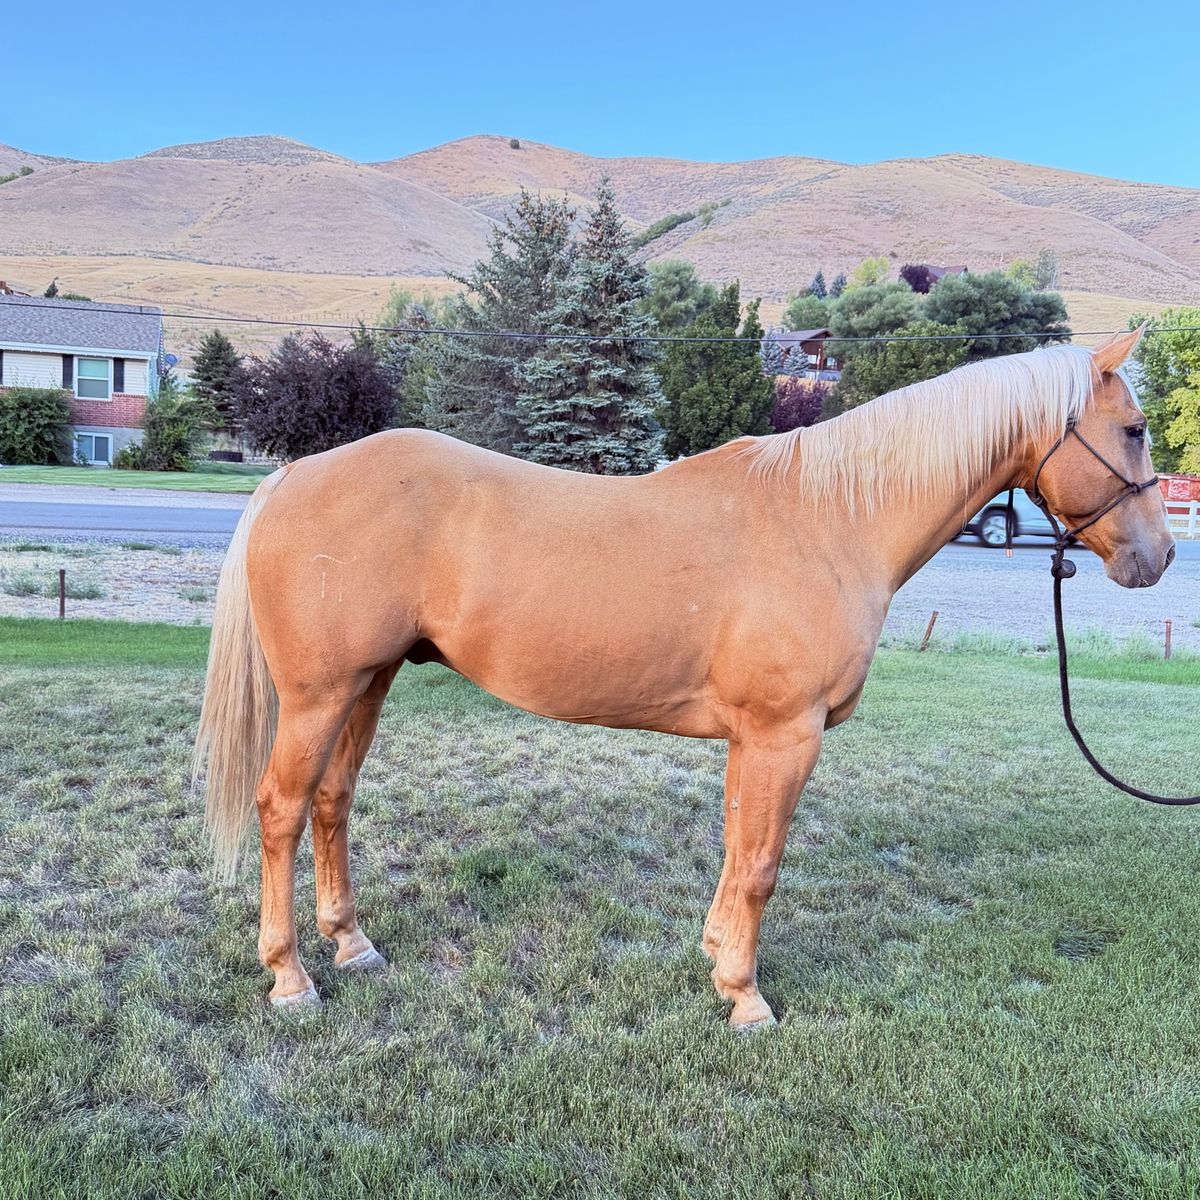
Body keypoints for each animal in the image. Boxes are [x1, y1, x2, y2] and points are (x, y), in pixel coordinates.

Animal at [194, 327, 1174, 1029]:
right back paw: (290, 979)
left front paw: (715, 960)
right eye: (1131, 431)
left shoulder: (755, 738)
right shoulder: (785, 734)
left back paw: (351, 946)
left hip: (367, 684)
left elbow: (737, 848)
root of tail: (293, 475)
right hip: (320, 694)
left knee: (332, 802)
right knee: (282, 809)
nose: (1159, 558)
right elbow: (763, 864)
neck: (831, 520)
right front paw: (746, 997)